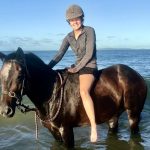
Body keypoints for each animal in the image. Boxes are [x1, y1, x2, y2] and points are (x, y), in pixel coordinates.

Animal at [0, 47, 147, 148]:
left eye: (19, 76)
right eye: (1, 76)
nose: (5, 110)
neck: (52, 93)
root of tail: (136, 75)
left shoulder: (66, 130)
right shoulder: (54, 132)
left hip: (133, 115)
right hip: (113, 116)